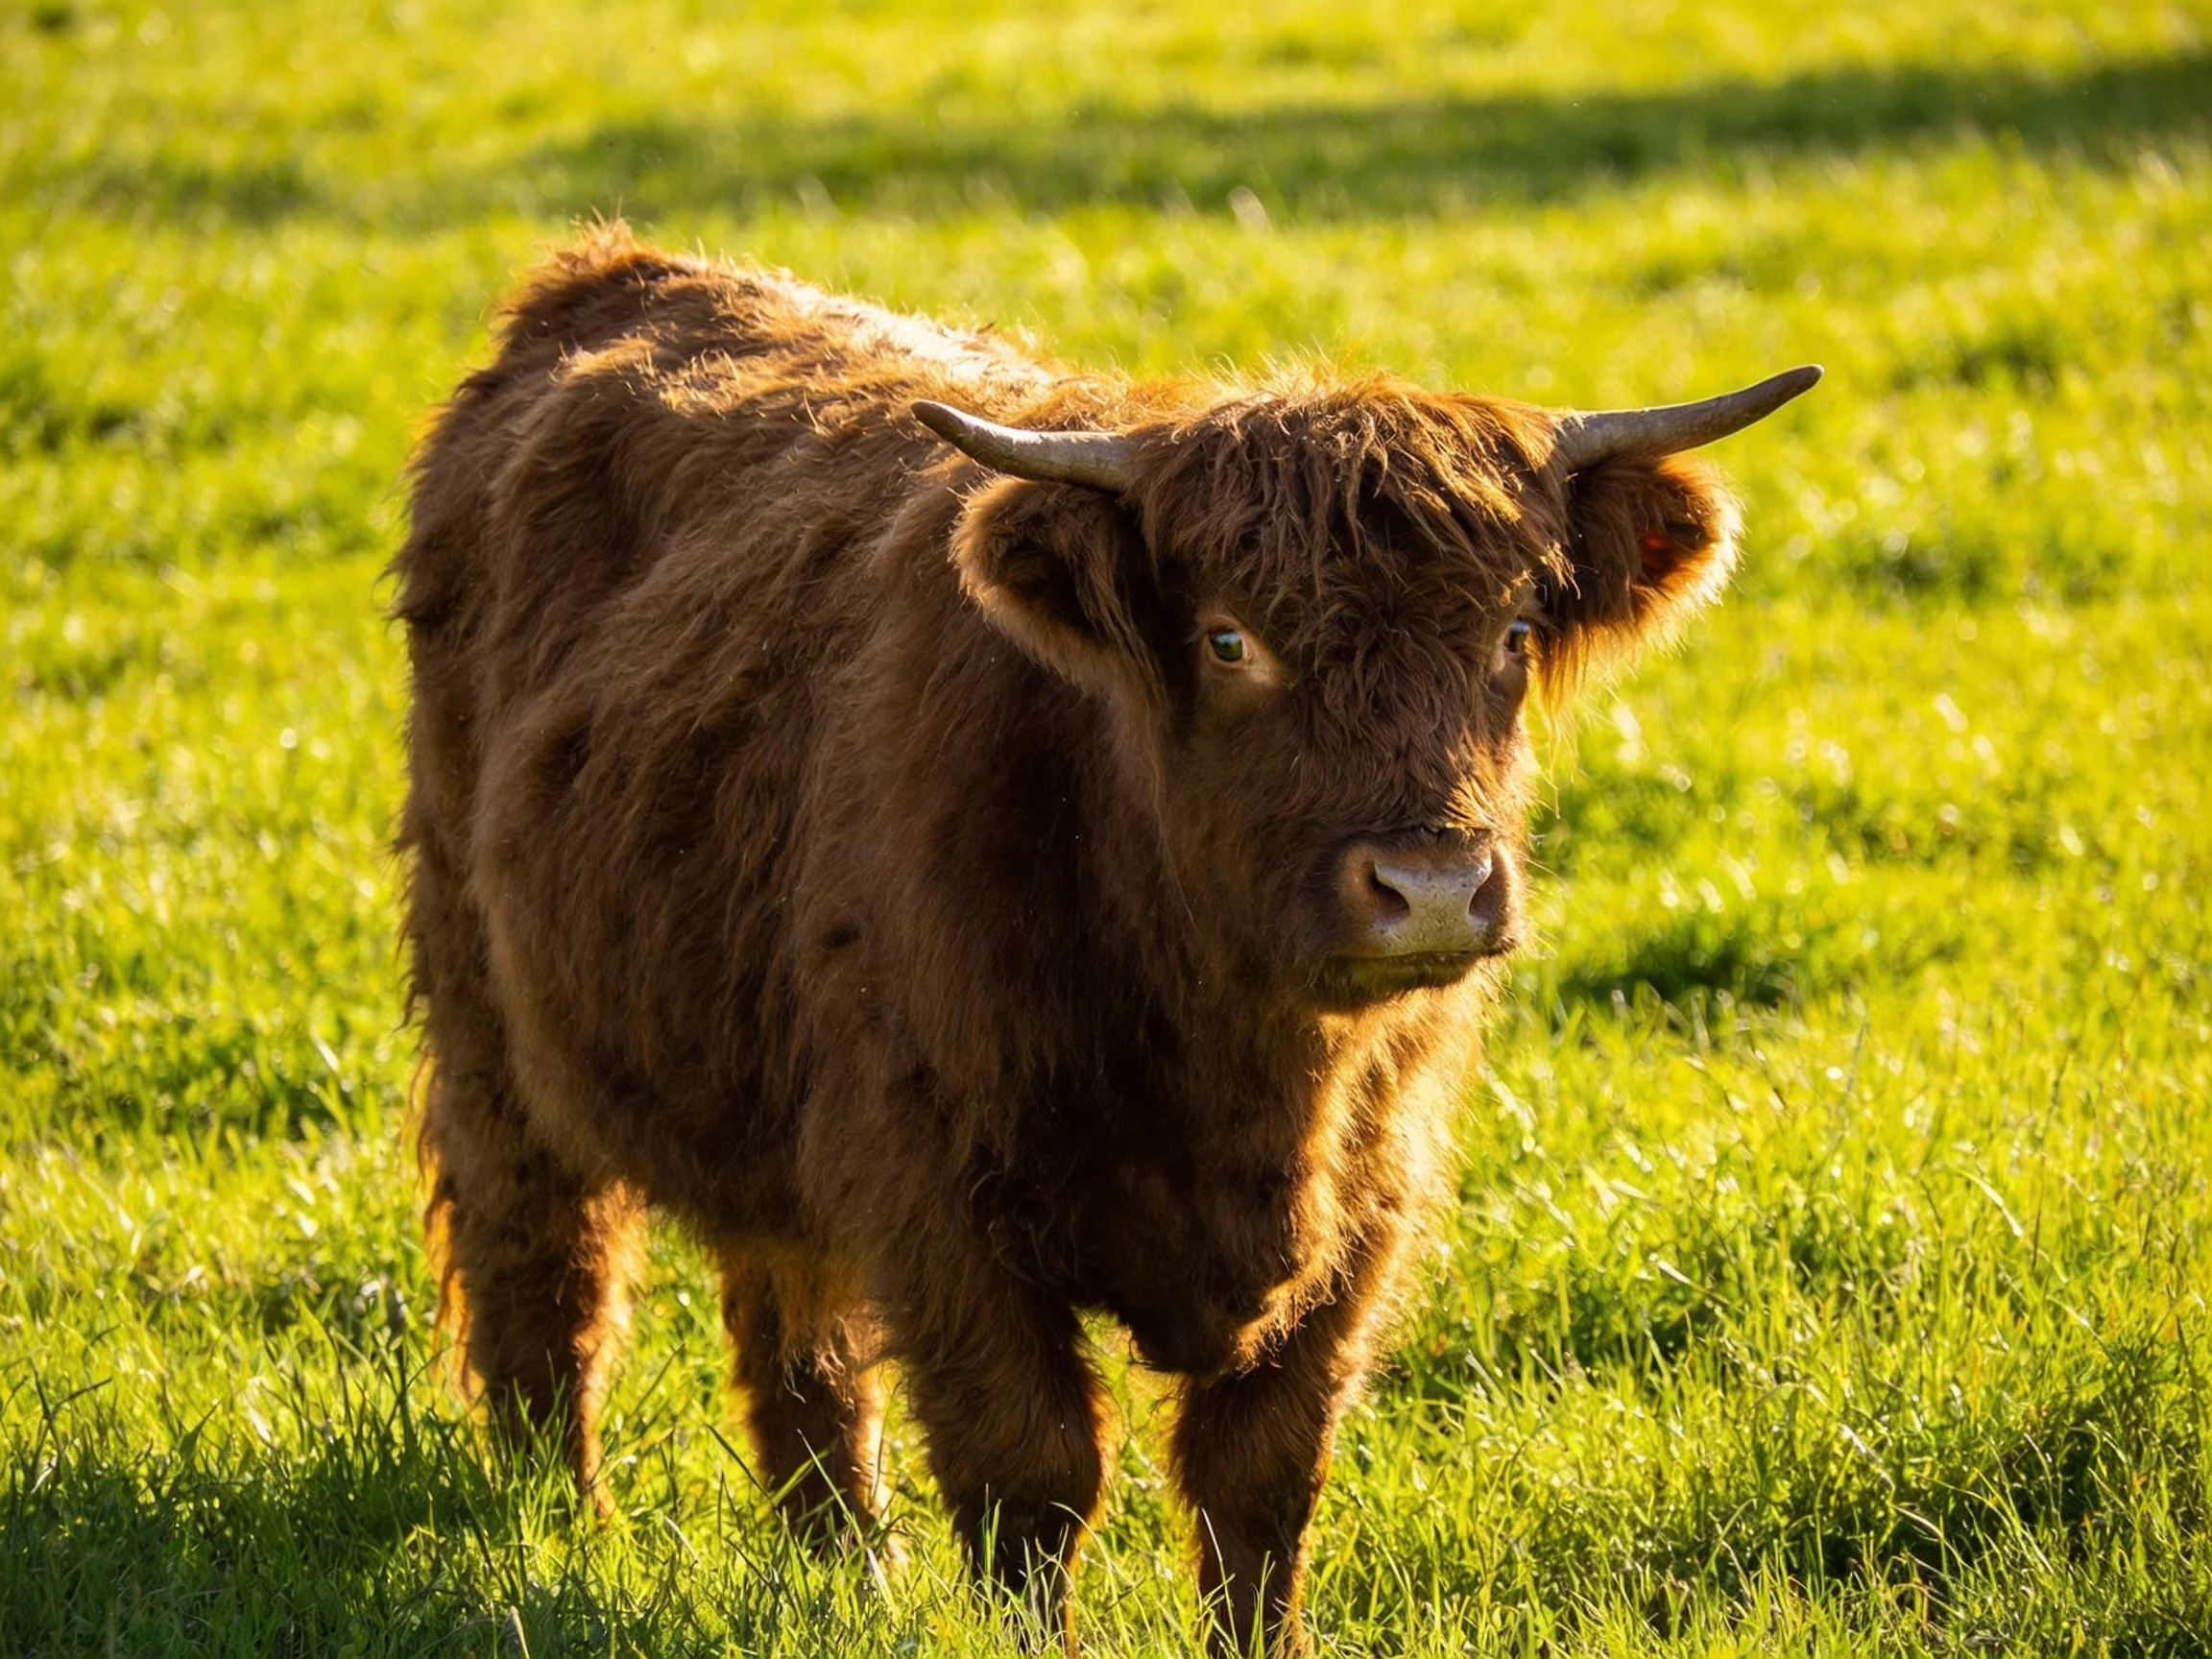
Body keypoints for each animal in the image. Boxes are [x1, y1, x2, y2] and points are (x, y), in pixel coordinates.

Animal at [394, 227, 1815, 1655]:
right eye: (1229, 637)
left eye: (1513, 634)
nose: (1427, 886)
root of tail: (611, 270)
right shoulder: (936, 1188)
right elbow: (1033, 1476)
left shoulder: (1372, 1193)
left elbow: (1263, 1482)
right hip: (483, 1005)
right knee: (543, 1263)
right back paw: (559, 1523)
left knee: (793, 1324)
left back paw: (846, 1570)